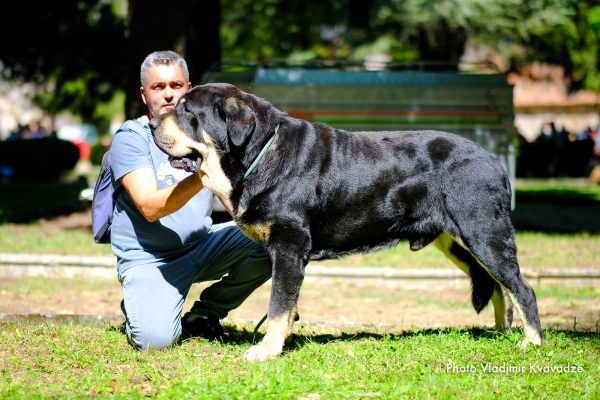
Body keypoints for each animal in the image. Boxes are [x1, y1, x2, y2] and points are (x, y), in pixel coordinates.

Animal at [149, 83, 544, 360]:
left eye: (186, 111)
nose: (152, 123)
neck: (260, 155)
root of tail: (493, 160)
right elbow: (288, 305)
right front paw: (284, 340)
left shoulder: (288, 246)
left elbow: (278, 304)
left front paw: (266, 350)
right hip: (457, 241)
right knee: (497, 286)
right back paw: (500, 333)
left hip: (484, 232)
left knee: (522, 288)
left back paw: (532, 342)